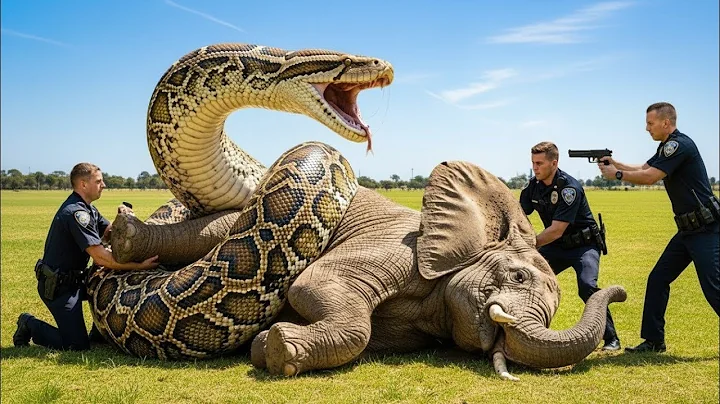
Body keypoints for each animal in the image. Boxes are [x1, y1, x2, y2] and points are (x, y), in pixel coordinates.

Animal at [107, 155, 626, 381]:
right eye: (517, 276)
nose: (619, 290)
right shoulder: (398, 247)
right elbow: (314, 286)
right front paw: (275, 347)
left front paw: (273, 342)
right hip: (241, 215)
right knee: (211, 230)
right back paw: (127, 234)